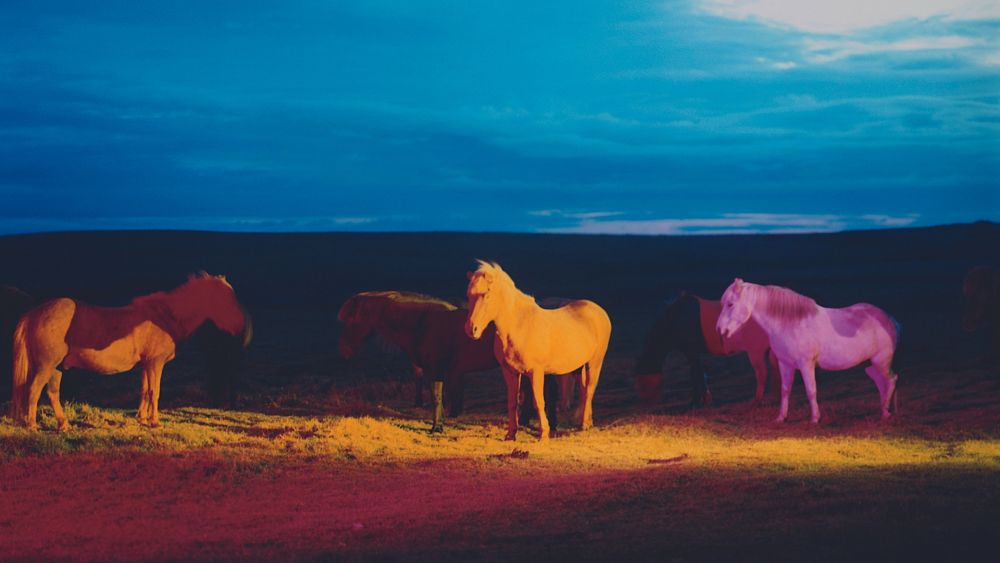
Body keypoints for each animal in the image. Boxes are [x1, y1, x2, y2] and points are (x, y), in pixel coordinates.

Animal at [10, 274, 249, 432]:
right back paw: (32, 426)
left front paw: (141, 419)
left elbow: (144, 390)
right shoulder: (155, 363)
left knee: (52, 393)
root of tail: (34, 312)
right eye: (224, 298)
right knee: (33, 390)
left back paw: (63, 425)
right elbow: (154, 391)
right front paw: (154, 421)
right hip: (46, 366)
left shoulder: (145, 365)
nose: (241, 325)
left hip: (57, 367)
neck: (164, 317)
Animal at [338, 290, 498, 432]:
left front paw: (436, 428)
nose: (344, 350)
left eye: (351, 320)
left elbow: (436, 398)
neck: (423, 322)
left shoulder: (435, 371)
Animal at [460, 262, 608, 442]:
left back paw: (585, 425)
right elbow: (513, 402)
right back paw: (586, 421)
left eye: (487, 295)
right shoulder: (510, 372)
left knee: (590, 390)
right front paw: (511, 434)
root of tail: (598, 310)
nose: (471, 329)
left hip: (595, 363)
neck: (518, 326)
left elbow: (538, 401)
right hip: (579, 367)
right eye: (469, 295)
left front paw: (544, 434)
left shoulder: (536, 372)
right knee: (584, 390)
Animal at [632, 294, 780, 408]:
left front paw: (695, 403)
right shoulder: (693, 353)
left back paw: (756, 401)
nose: (646, 405)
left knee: (762, 373)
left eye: (643, 383)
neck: (676, 319)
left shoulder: (691, 352)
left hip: (755, 351)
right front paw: (705, 400)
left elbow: (696, 375)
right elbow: (699, 374)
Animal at [716, 280, 904, 426]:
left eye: (730, 304)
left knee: (891, 380)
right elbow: (785, 390)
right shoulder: (785, 364)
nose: (720, 329)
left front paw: (814, 419)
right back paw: (885, 410)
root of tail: (889, 319)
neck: (790, 323)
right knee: (881, 382)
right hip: (871, 365)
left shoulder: (806, 364)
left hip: (881, 361)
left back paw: (885, 412)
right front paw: (781, 418)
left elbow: (811, 390)